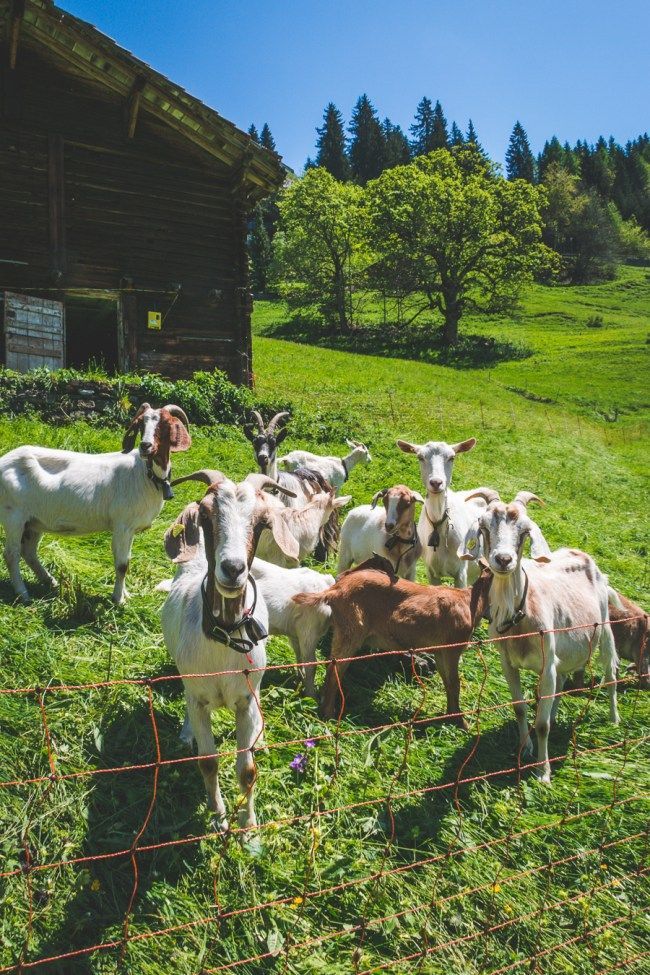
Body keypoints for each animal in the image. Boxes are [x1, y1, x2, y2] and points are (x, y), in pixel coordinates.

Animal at [0, 402, 191, 604]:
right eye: (141, 424)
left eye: (165, 424)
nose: (145, 446)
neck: (144, 475)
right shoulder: (122, 525)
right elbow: (122, 564)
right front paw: (118, 599)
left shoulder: (130, 529)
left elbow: (127, 560)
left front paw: (126, 594)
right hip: (13, 515)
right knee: (11, 554)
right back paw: (23, 594)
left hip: (34, 521)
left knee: (28, 552)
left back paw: (50, 581)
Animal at [292, 556, 488, 724]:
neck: (469, 602)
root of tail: (334, 591)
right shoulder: (453, 648)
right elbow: (455, 683)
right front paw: (461, 722)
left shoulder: (440, 651)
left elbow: (447, 682)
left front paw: (450, 715)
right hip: (351, 631)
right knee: (334, 669)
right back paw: (329, 714)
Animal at [456, 488, 616, 784]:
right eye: (484, 526)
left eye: (525, 530)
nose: (503, 559)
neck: (520, 616)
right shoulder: (508, 662)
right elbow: (520, 707)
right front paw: (525, 747)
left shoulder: (546, 664)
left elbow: (542, 725)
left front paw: (543, 772)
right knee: (562, 682)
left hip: (605, 628)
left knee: (610, 672)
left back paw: (614, 719)